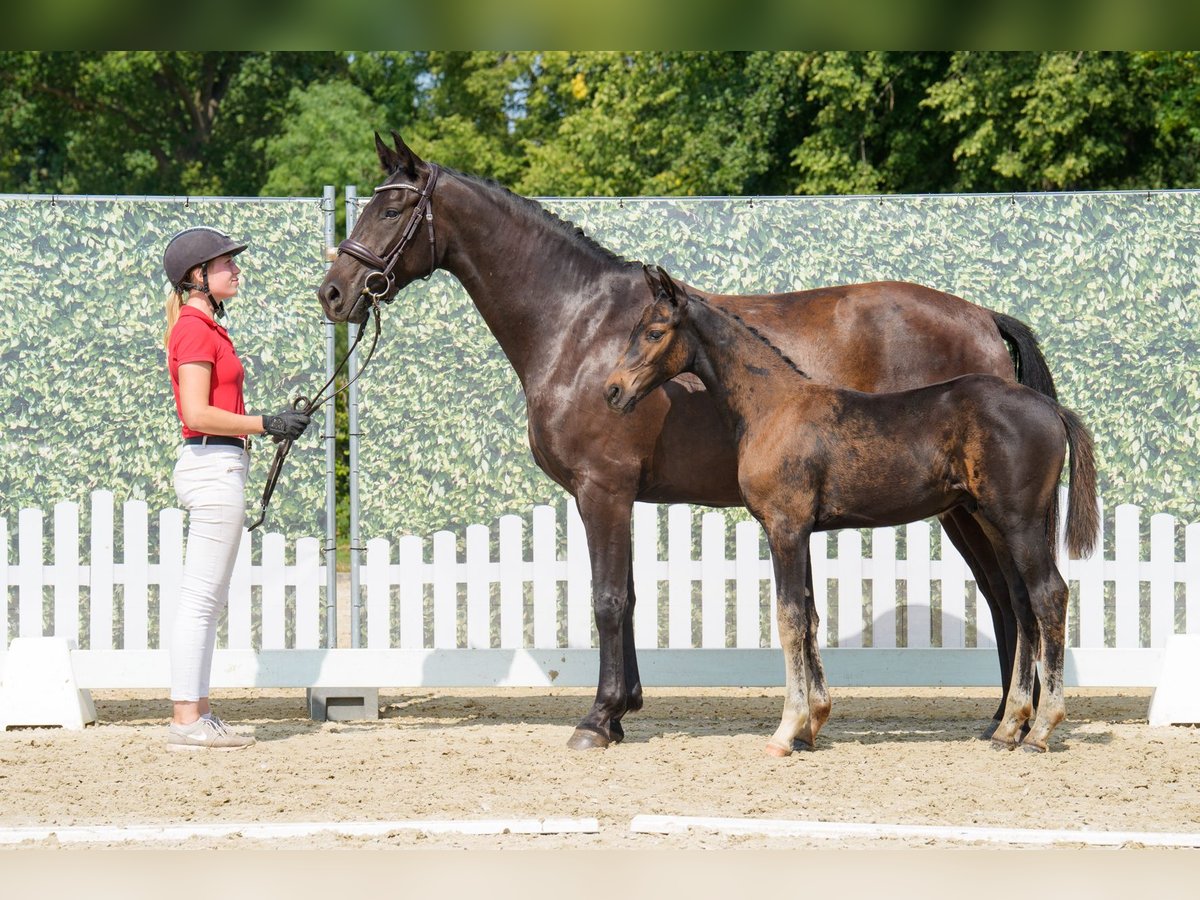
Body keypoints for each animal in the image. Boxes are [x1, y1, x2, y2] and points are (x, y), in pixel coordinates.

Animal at [605, 267, 1098, 753]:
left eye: (654, 332)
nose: (612, 390)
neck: (774, 406)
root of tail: (1053, 409)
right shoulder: (800, 532)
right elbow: (808, 617)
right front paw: (811, 725)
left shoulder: (785, 528)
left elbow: (789, 619)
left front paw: (786, 730)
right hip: (994, 523)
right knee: (1021, 602)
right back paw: (1008, 726)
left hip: (1019, 524)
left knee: (1049, 595)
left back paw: (1040, 729)